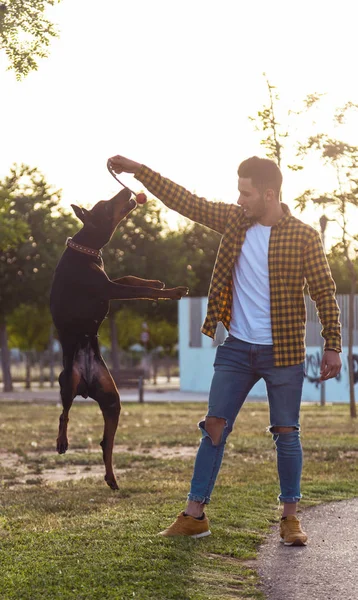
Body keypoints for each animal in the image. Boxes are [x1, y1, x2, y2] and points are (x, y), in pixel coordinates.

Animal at [50, 189, 189, 492]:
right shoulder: (108, 288)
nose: (126, 192)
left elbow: (132, 279)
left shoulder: (109, 283)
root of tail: (86, 384)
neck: (86, 250)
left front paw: (156, 282)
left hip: (112, 399)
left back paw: (112, 478)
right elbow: (137, 289)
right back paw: (62, 442)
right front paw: (171, 291)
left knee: (106, 442)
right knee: (64, 413)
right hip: (68, 381)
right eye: (104, 206)